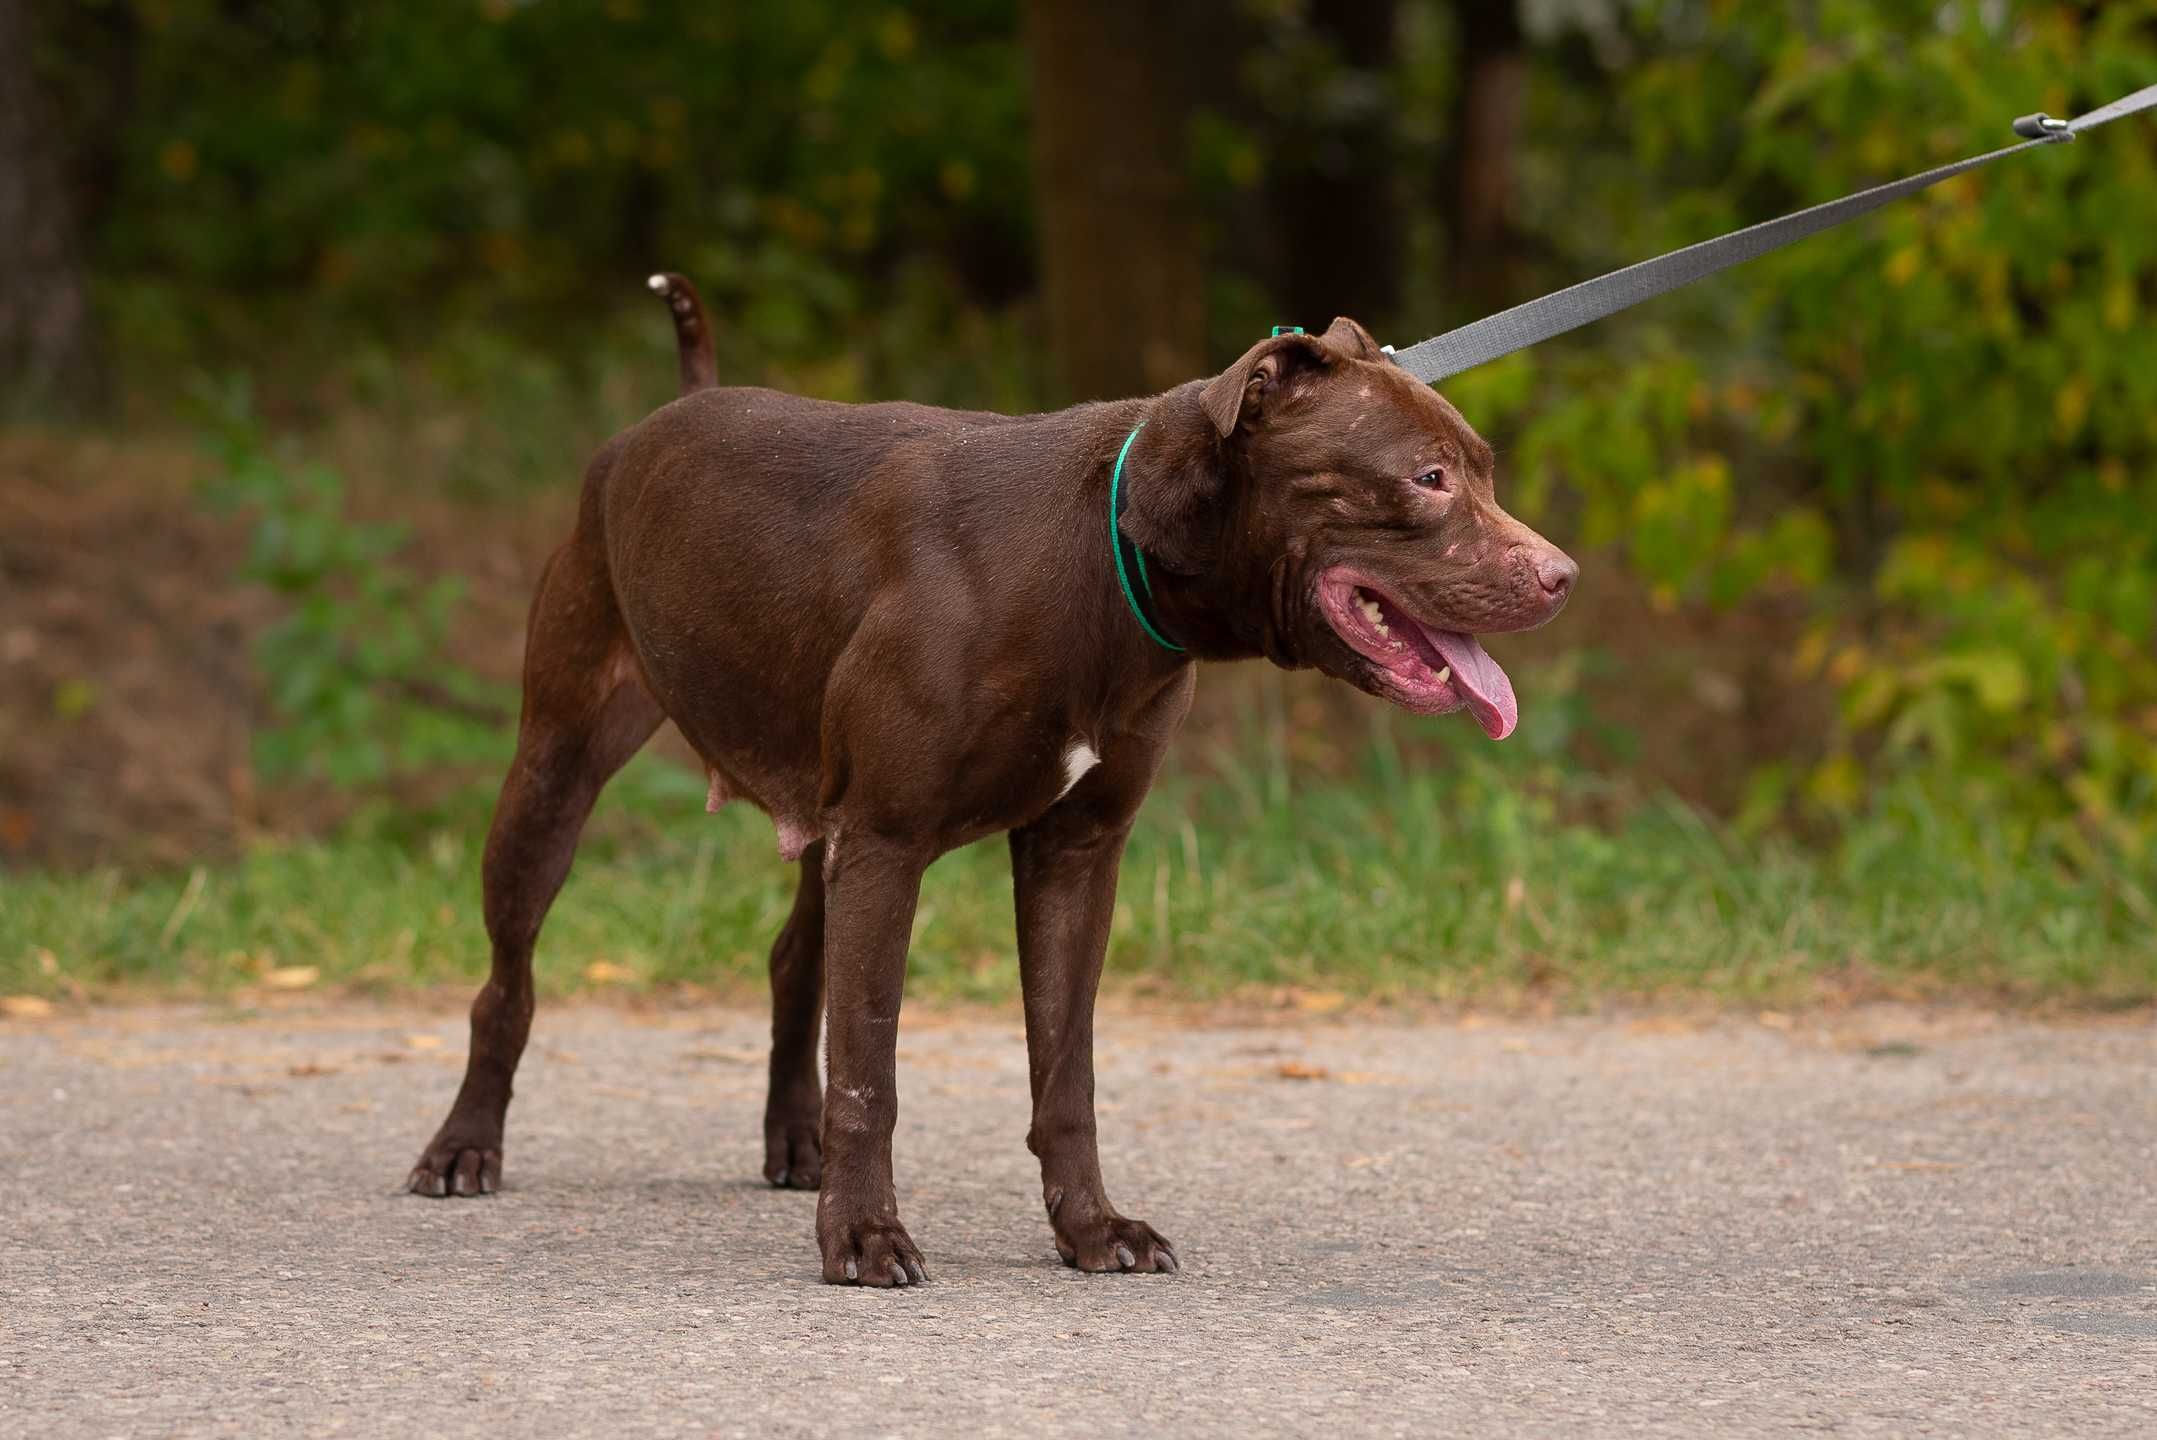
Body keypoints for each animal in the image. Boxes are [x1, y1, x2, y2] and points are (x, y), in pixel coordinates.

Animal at [407, 269, 1570, 1284]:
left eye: (1484, 468)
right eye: (1426, 478)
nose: (1561, 575)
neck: (1103, 553)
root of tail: (671, 410)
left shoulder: (1069, 854)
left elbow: (1066, 1069)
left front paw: (1091, 1229)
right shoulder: (887, 843)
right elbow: (870, 1065)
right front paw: (865, 1238)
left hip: (818, 820)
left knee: (791, 962)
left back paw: (794, 1142)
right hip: (555, 768)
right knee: (507, 981)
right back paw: (463, 1149)